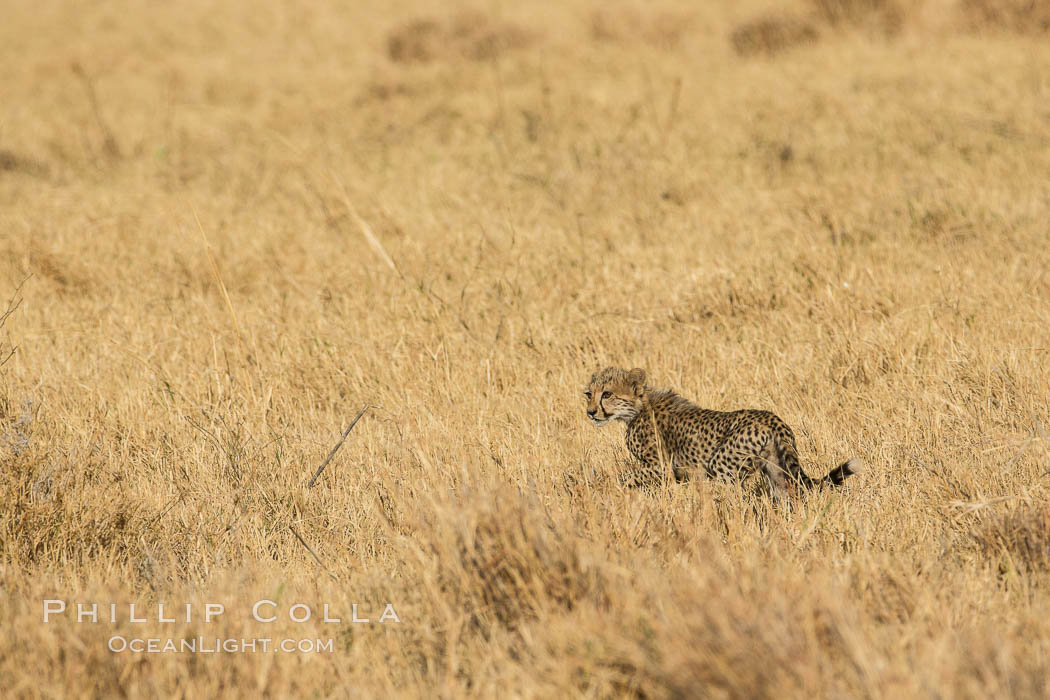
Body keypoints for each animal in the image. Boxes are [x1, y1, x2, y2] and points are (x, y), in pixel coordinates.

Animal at [583, 367, 860, 497]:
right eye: (589, 393)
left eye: (607, 394)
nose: (590, 412)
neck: (637, 408)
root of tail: (772, 418)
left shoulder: (660, 465)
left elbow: (628, 476)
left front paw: (609, 488)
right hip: (774, 469)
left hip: (723, 464)